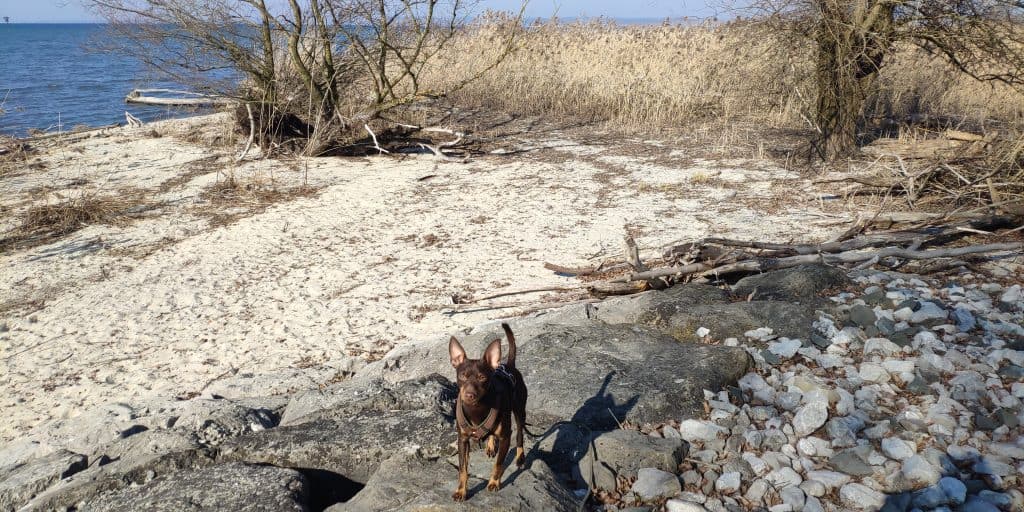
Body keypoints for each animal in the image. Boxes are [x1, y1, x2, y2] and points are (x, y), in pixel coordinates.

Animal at [448, 321, 528, 501]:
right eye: (462, 376)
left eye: (482, 378)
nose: (469, 394)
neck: (477, 409)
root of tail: (509, 365)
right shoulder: (462, 439)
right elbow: (463, 469)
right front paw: (461, 491)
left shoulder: (506, 437)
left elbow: (498, 464)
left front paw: (494, 482)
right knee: (491, 434)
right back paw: (490, 445)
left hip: (519, 410)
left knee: (520, 434)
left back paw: (520, 457)